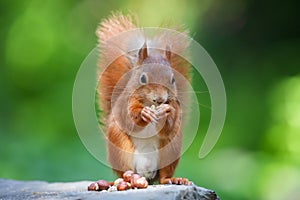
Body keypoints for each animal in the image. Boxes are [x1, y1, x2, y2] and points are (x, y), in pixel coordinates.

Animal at [97, 12, 191, 184]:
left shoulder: (175, 106)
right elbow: (129, 119)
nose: (160, 99)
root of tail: (146, 173)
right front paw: (144, 114)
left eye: (173, 79)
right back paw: (125, 180)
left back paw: (173, 179)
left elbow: (169, 127)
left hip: (171, 149)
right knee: (124, 171)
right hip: (119, 148)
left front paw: (166, 113)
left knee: (164, 175)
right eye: (142, 78)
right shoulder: (125, 103)